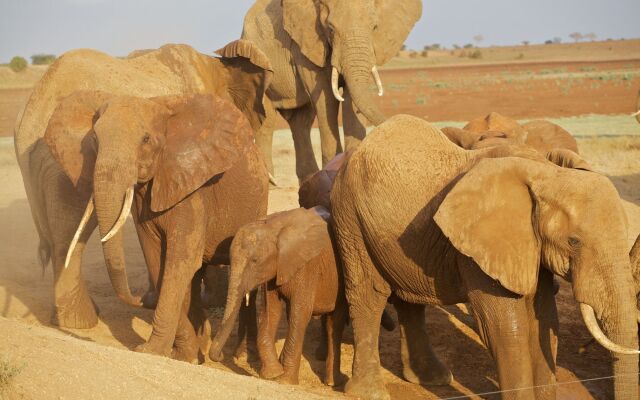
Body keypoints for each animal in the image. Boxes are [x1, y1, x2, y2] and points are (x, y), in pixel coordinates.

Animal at [42, 92, 268, 360]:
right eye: (95, 139)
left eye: (146, 139)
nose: (141, 299)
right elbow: (156, 259)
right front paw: (184, 354)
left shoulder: (192, 191)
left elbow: (179, 262)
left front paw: (152, 350)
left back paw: (240, 355)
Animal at [209, 205, 344, 386]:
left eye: (255, 261)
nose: (221, 355)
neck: (273, 226)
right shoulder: (274, 271)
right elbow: (271, 312)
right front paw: (273, 373)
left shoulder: (307, 266)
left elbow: (300, 313)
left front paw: (285, 380)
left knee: (334, 323)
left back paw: (331, 383)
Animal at [238, 0, 422, 182]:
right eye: (331, 29)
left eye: (375, 27)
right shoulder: (307, 47)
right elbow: (327, 100)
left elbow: (350, 100)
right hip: (256, 66)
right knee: (267, 123)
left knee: (301, 122)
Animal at [328, 113, 636, 400]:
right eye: (574, 241)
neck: (546, 172)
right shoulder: (478, 247)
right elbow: (506, 329)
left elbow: (546, 321)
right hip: (350, 216)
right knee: (369, 294)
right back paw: (369, 392)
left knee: (409, 298)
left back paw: (433, 379)